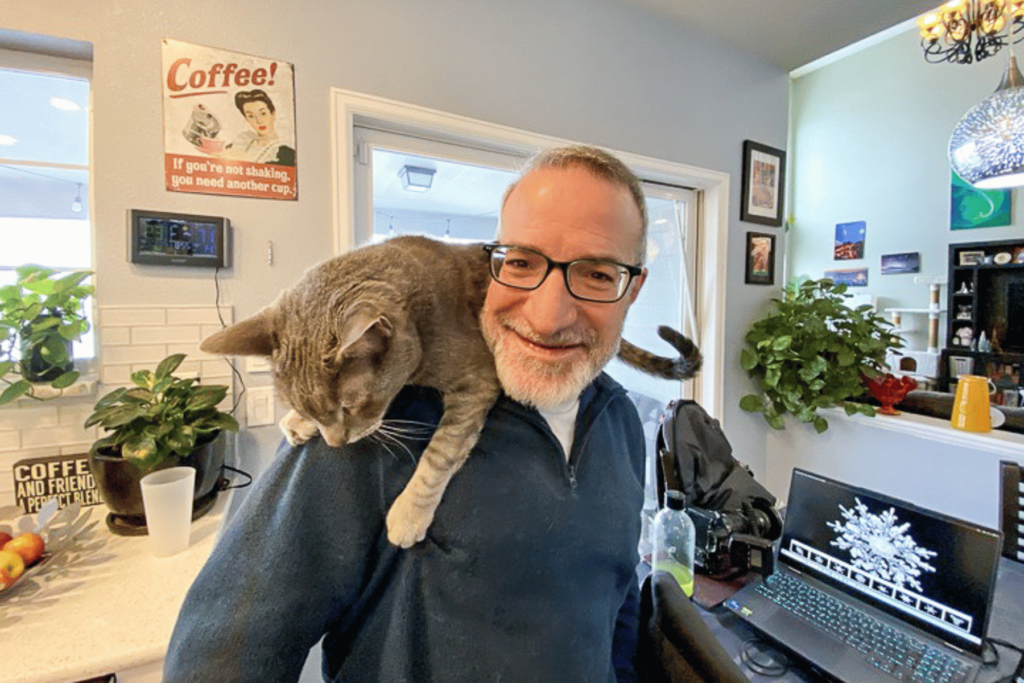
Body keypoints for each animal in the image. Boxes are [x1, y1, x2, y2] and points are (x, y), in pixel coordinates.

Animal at [199, 237, 696, 548]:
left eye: (351, 406)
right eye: (313, 407)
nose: (336, 443)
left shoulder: (477, 381)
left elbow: (439, 456)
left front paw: (408, 515)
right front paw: (300, 423)